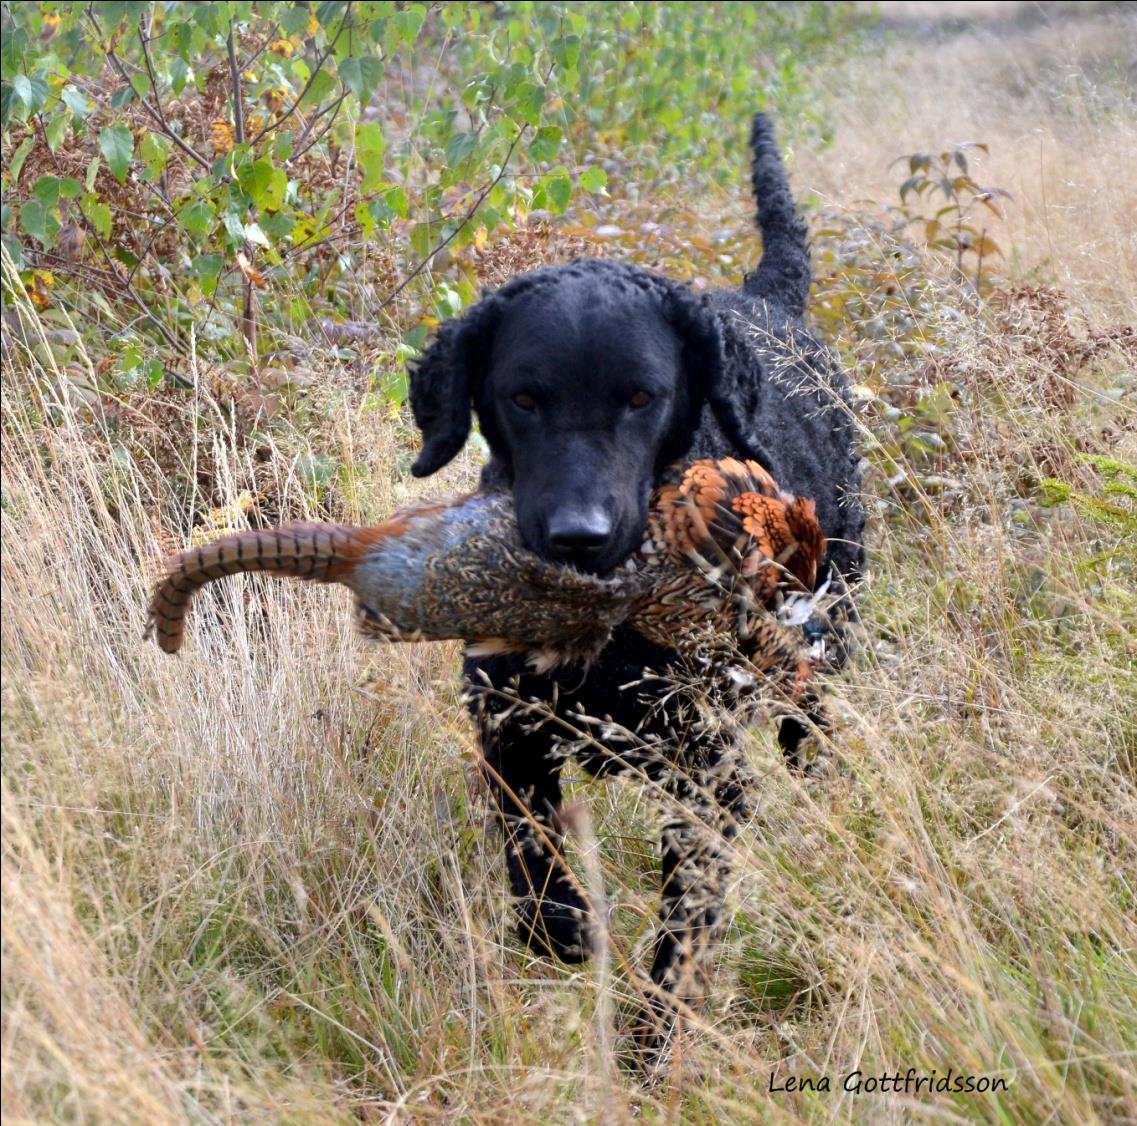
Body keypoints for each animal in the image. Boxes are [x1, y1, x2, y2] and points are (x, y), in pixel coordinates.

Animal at [409, 116, 859, 1055]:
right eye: (523, 398)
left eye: (642, 398)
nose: (577, 536)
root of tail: (765, 298)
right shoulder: (505, 724)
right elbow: (529, 854)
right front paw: (565, 929)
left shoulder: (709, 773)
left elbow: (680, 934)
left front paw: (651, 1046)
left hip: (826, 637)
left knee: (813, 735)